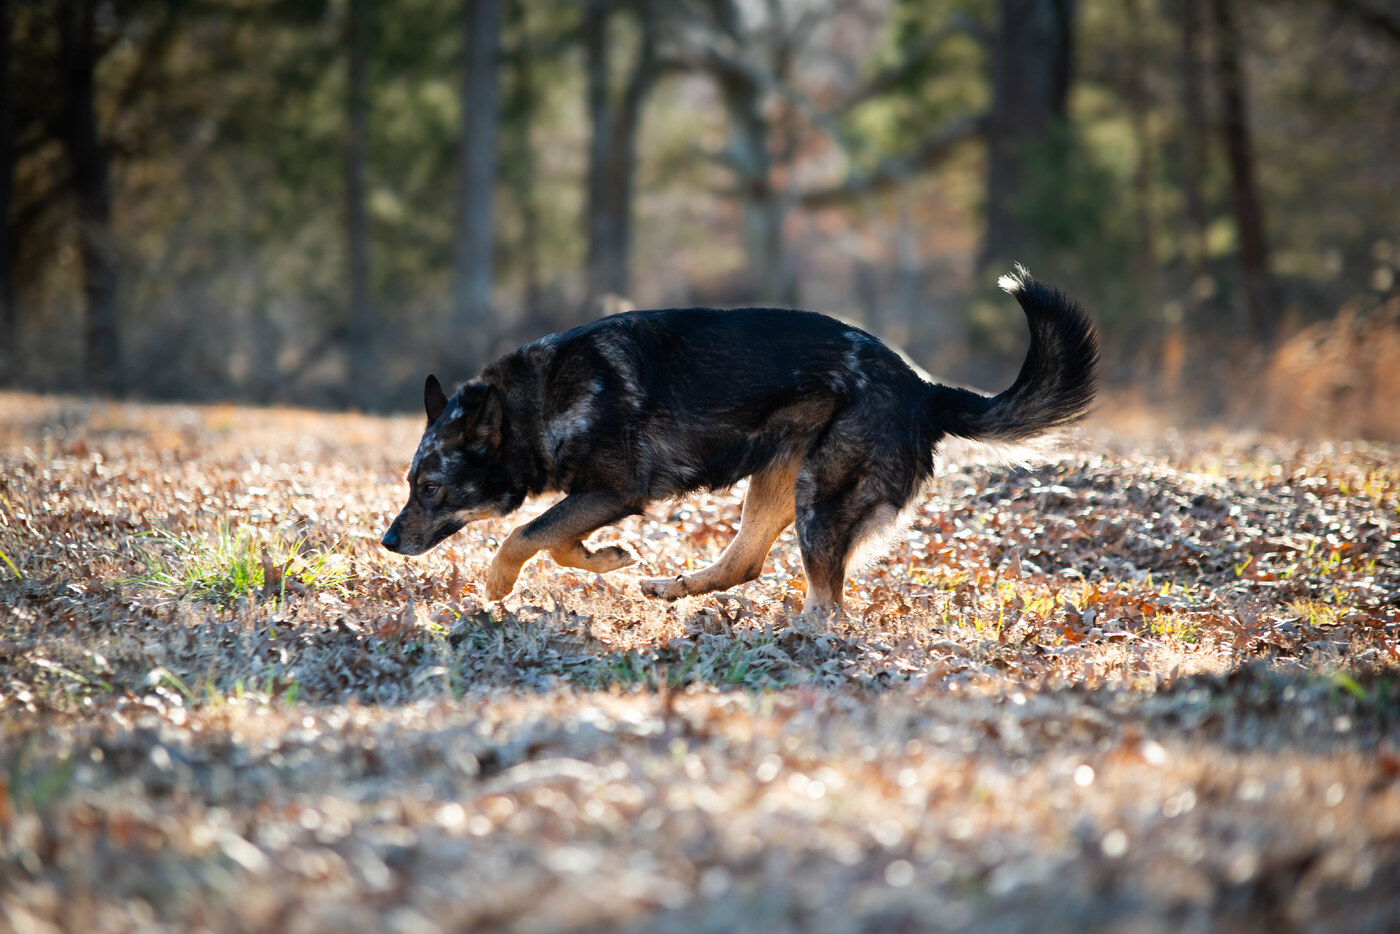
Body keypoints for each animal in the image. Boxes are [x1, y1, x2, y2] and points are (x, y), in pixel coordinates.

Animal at [381, 266, 1098, 615]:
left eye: (432, 488)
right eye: (410, 485)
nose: (387, 541)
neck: (539, 402)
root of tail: (923, 386)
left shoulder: (614, 491)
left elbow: (523, 535)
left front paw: (498, 585)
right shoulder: (598, 499)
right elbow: (555, 542)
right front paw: (607, 559)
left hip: (818, 501)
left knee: (830, 607)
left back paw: (801, 640)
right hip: (777, 484)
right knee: (743, 565)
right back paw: (677, 591)